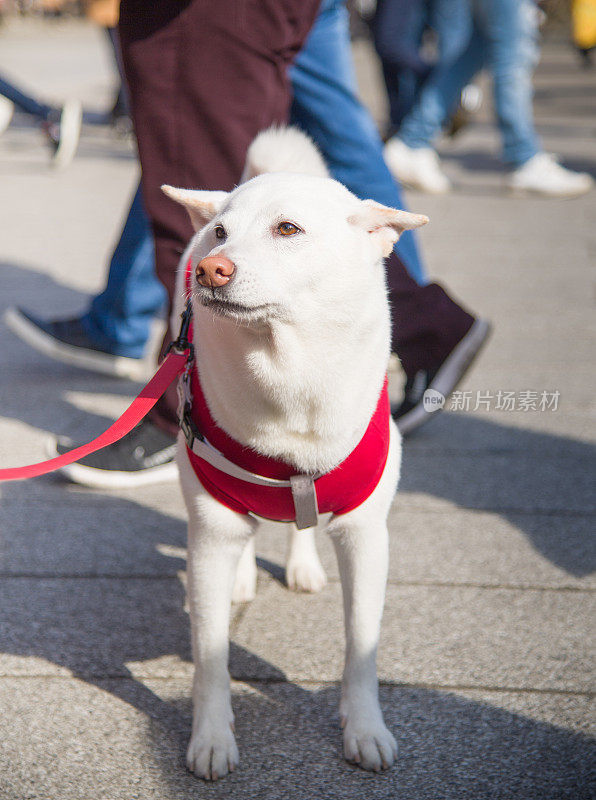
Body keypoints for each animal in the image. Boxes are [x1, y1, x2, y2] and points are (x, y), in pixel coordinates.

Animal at [161, 126, 426, 780]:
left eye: (288, 229)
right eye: (222, 233)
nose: (210, 267)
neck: (288, 378)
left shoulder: (365, 534)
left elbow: (361, 647)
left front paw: (365, 730)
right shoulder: (211, 531)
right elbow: (210, 656)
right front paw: (211, 739)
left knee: (298, 522)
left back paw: (303, 565)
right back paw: (244, 578)